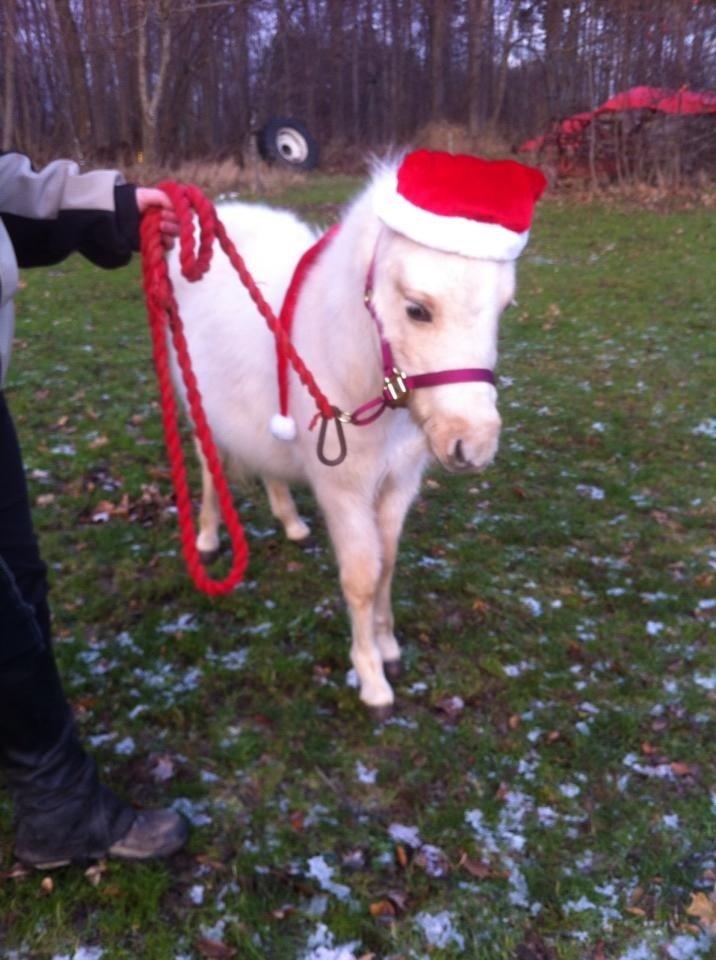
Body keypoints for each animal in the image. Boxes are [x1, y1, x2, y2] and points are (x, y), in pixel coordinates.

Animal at [167, 151, 546, 718]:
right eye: (417, 308)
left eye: (504, 308)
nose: (473, 445)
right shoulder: (344, 492)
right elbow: (363, 578)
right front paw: (371, 679)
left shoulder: (398, 484)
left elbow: (387, 563)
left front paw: (388, 649)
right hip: (198, 406)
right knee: (210, 465)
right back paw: (210, 538)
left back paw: (291, 522)